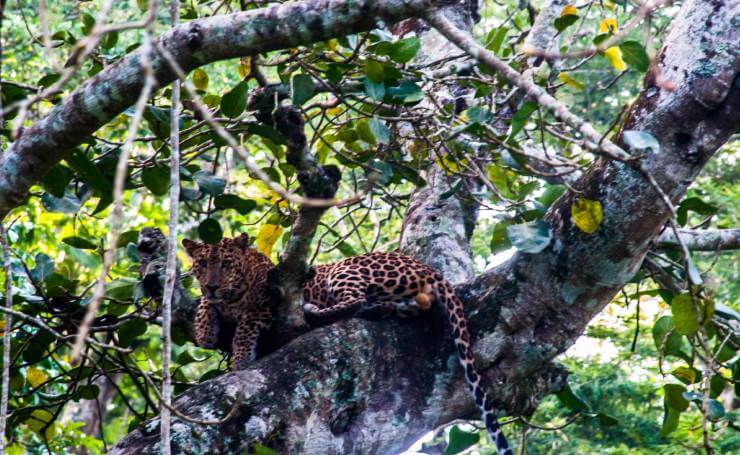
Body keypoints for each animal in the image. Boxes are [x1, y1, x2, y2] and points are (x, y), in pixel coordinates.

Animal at [184, 237, 508, 454]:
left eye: (226, 264)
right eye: (202, 265)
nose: (212, 284)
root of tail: (428, 269)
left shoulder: (264, 304)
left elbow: (244, 329)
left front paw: (240, 358)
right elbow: (204, 305)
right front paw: (205, 330)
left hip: (344, 269)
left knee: (354, 300)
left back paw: (313, 311)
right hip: (400, 297)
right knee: (394, 305)